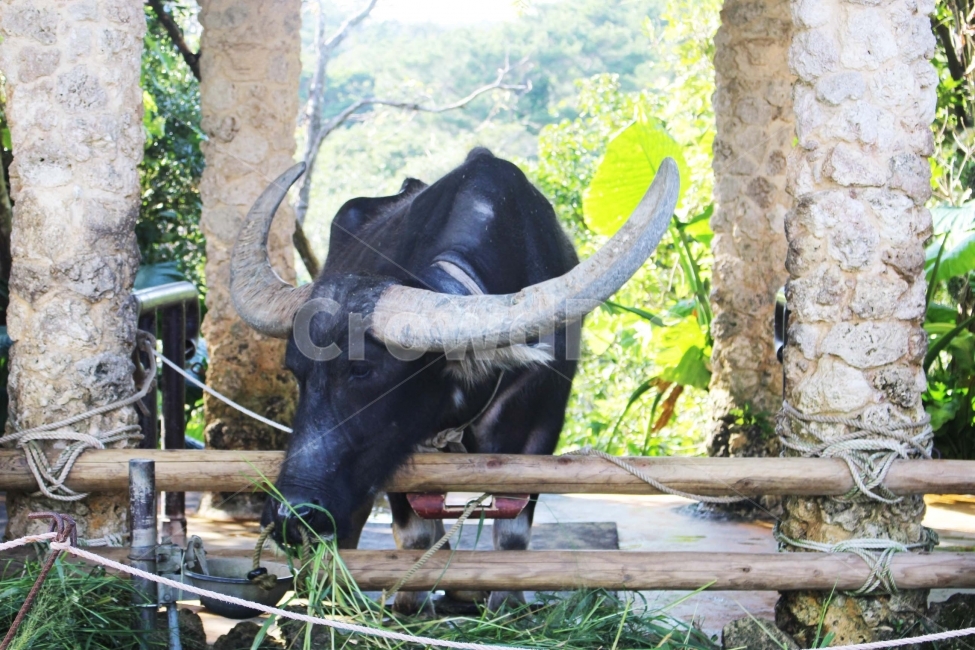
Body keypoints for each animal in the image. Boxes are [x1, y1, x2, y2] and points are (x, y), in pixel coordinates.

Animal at [229, 148, 678, 612]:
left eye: (363, 369)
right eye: (296, 370)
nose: (290, 516)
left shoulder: (542, 425)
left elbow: (513, 532)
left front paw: (509, 606)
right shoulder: (399, 446)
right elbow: (414, 533)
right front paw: (411, 607)